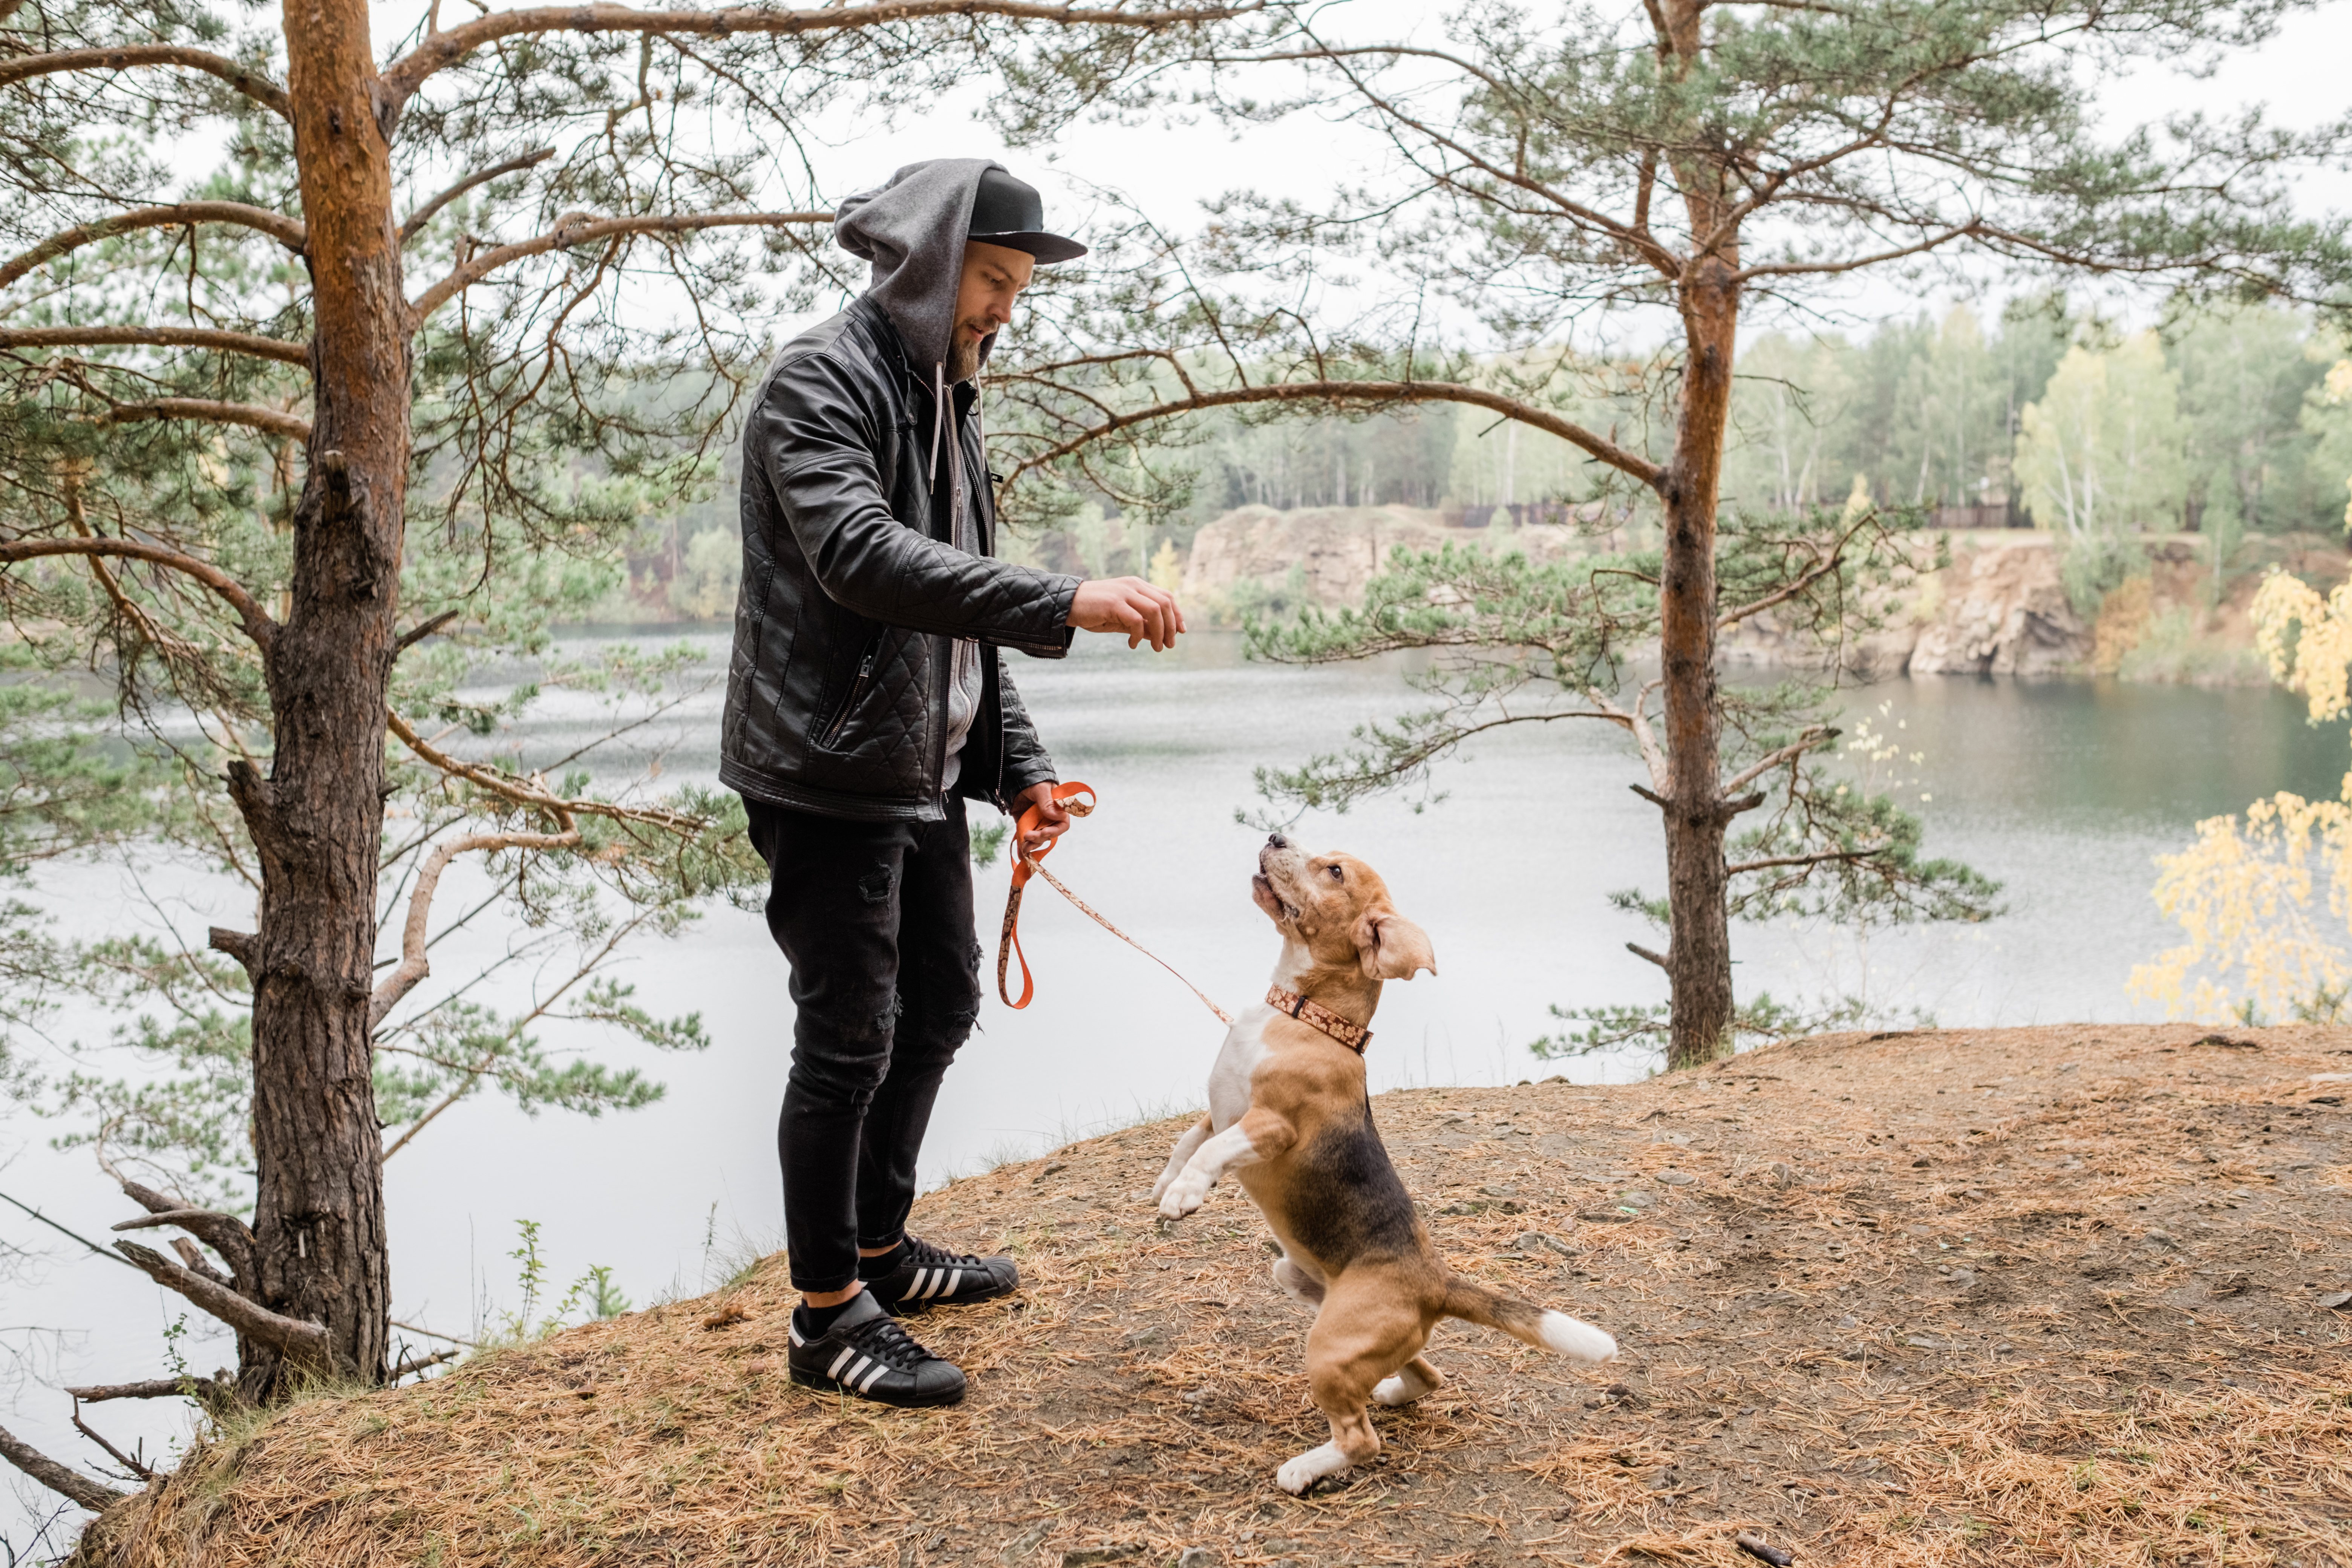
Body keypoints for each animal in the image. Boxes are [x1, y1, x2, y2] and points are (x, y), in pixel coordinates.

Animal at [1143, 832, 1618, 1495]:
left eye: (1335, 871)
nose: (1276, 836)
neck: (1305, 1015)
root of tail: (1437, 1282)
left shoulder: (1269, 1126)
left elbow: (1209, 1152)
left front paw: (1185, 1196)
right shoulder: (1221, 1113)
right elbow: (1187, 1141)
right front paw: (1169, 1183)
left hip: (1330, 1345)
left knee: (1361, 1441)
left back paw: (1305, 1468)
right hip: (1301, 1285)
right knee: (1426, 1377)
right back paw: (1391, 1392)